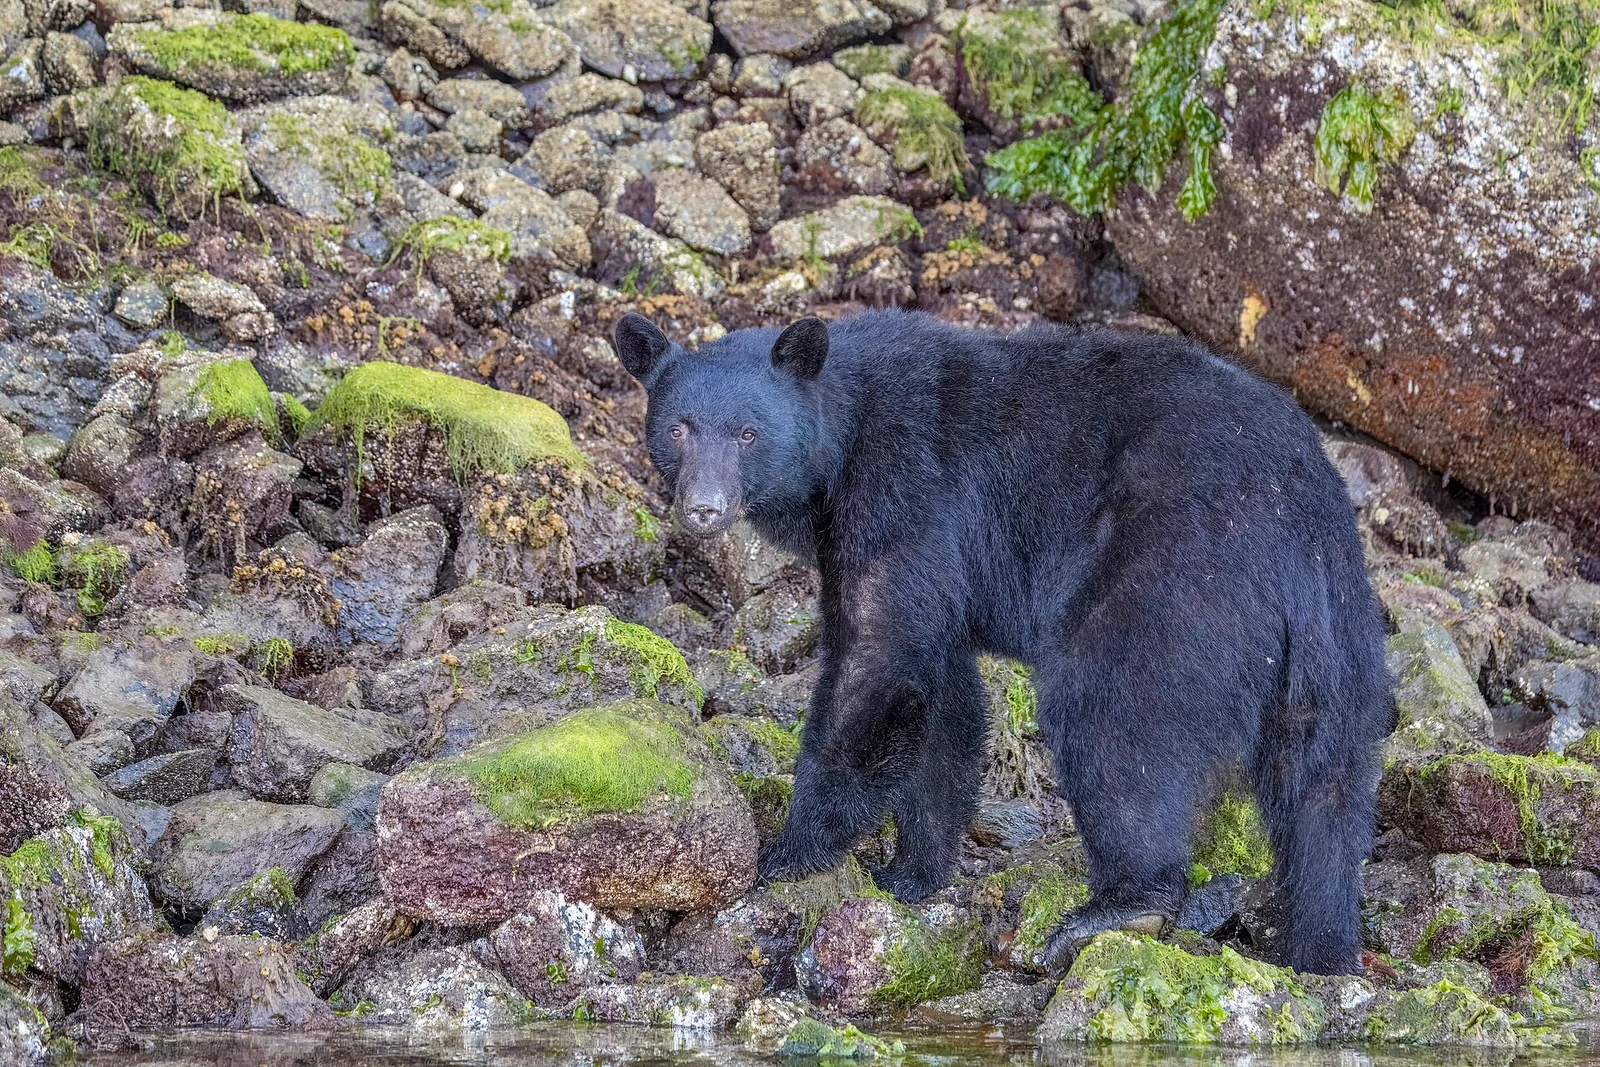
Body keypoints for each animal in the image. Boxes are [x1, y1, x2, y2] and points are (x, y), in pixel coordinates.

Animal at [611, 308, 1393, 976]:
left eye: (748, 432)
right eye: (679, 427)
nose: (703, 508)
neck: (843, 439)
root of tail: (1295, 507)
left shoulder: (904, 494)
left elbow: (879, 661)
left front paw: (789, 852)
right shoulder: (941, 567)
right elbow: (943, 702)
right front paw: (913, 871)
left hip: (1175, 576)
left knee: (1115, 721)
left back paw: (1122, 905)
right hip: (1336, 627)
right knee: (1325, 781)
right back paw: (1319, 944)